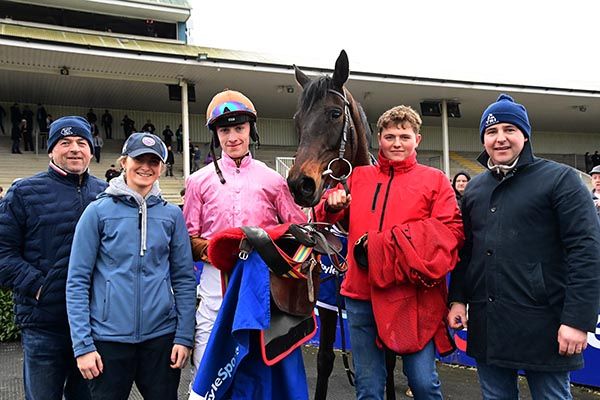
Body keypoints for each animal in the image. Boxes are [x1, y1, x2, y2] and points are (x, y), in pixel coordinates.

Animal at [290, 50, 406, 400]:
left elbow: (388, 361)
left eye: (333, 113)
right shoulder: (328, 302)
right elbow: (326, 360)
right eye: (298, 121)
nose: (299, 184)